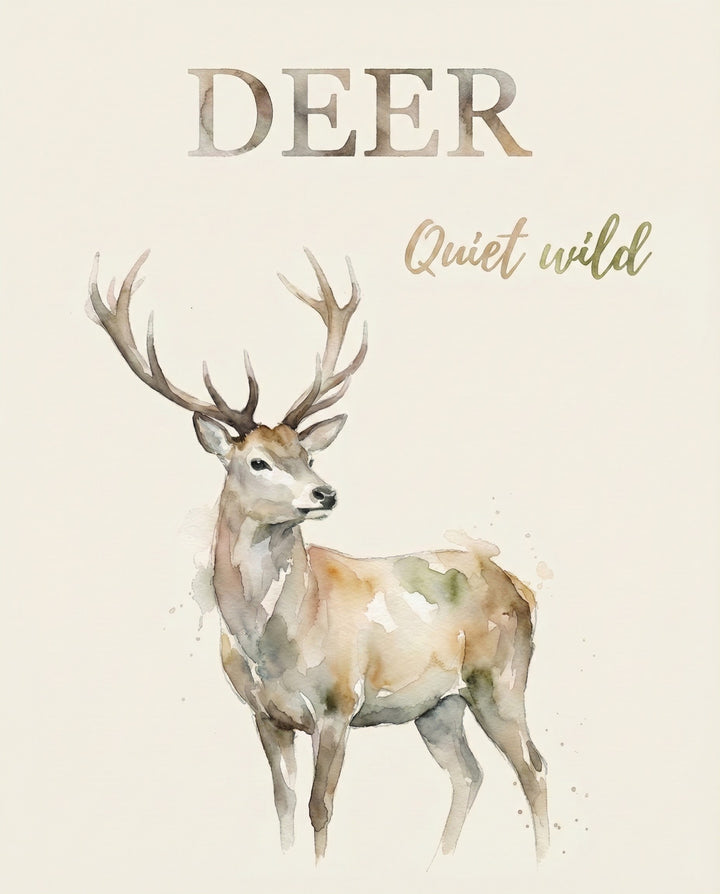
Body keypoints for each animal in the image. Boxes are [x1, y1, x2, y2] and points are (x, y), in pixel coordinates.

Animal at [87, 248, 549, 862]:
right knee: (469, 774)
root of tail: (520, 587)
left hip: (500, 678)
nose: (325, 493)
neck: (273, 643)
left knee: (533, 767)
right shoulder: (264, 714)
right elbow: (282, 805)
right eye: (258, 461)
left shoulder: (337, 705)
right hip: (436, 705)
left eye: (306, 454)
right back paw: (438, 862)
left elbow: (318, 808)